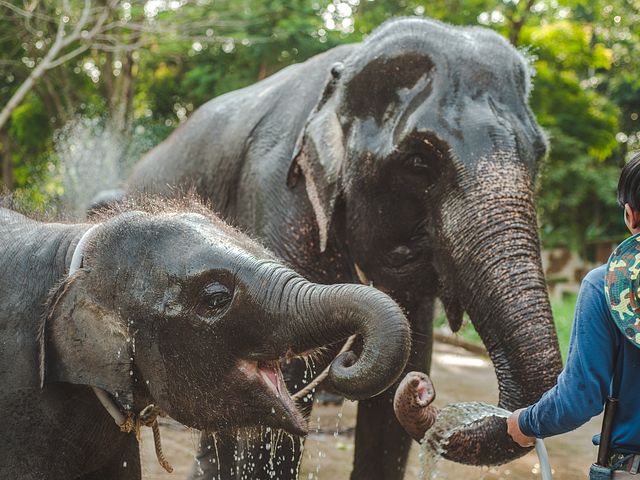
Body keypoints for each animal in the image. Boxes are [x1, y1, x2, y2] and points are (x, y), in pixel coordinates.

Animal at [127, 16, 564, 478]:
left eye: (539, 154)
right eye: (419, 162)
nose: (423, 392)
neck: (345, 68)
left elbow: (397, 393)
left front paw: (405, 379)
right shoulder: (276, 193)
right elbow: (278, 392)